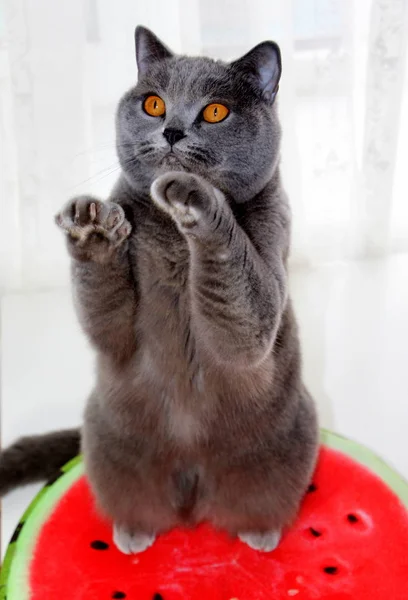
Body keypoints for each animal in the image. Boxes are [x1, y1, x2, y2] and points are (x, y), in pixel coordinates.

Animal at [0, 27, 318, 552]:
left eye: (215, 111)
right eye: (153, 104)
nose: (170, 130)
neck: (175, 238)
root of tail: (193, 485)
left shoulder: (265, 272)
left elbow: (239, 293)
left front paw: (194, 197)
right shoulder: (116, 330)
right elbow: (105, 321)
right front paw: (91, 226)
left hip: (289, 442)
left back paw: (260, 532)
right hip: (107, 442)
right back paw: (133, 530)